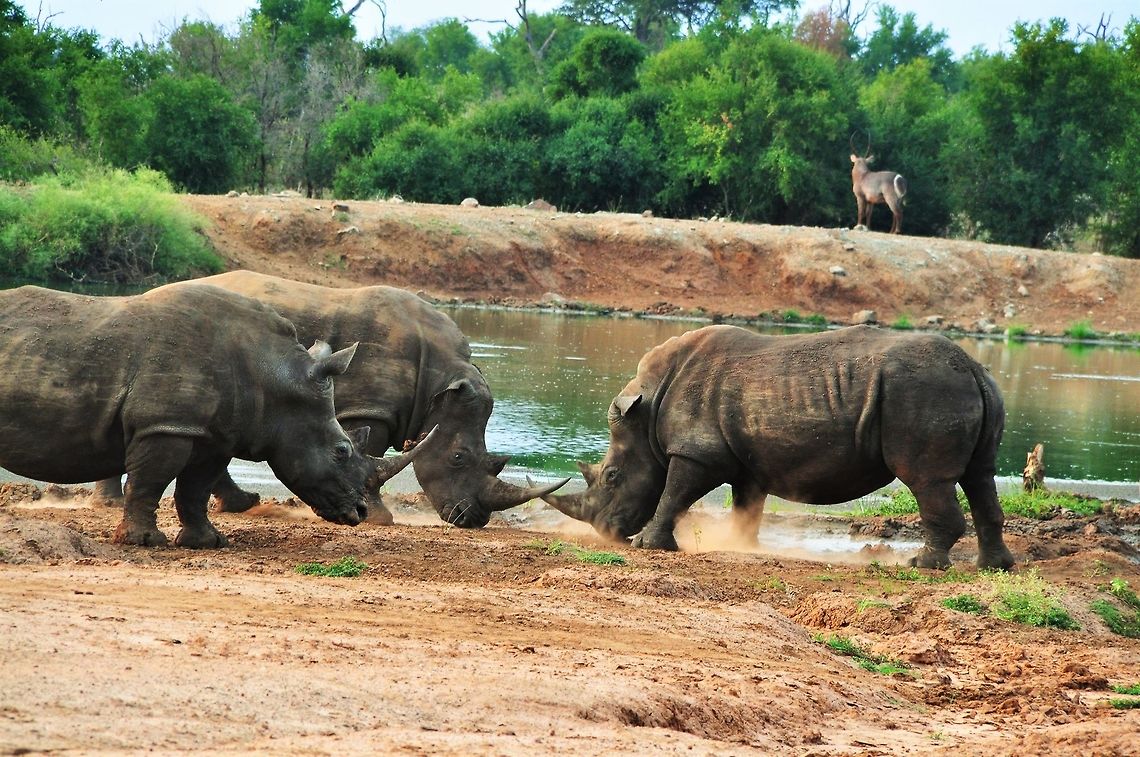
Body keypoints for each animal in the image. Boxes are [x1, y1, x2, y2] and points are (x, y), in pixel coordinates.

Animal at [0, 284, 434, 548]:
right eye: (341, 451)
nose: (360, 513)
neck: (273, 374)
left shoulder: (212, 436)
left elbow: (195, 487)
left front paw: (206, 542)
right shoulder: (166, 425)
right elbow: (149, 481)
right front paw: (143, 542)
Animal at [97, 271, 567, 527]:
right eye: (457, 459)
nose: (474, 521)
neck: (438, 382)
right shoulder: (370, 408)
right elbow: (368, 451)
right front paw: (380, 518)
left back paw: (243, 505)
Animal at [542, 325, 1016, 570]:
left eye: (612, 476)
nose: (605, 531)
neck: (648, 404)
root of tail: (975, 368)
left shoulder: (697, 451)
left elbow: (674, 493)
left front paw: (647, 546)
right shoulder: (744, 459)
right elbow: (746, 503)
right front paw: (742, 545)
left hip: (925, 392)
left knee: (926, 479)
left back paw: (922, 565)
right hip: (966, 391)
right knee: (981, 474)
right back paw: (994, 566)